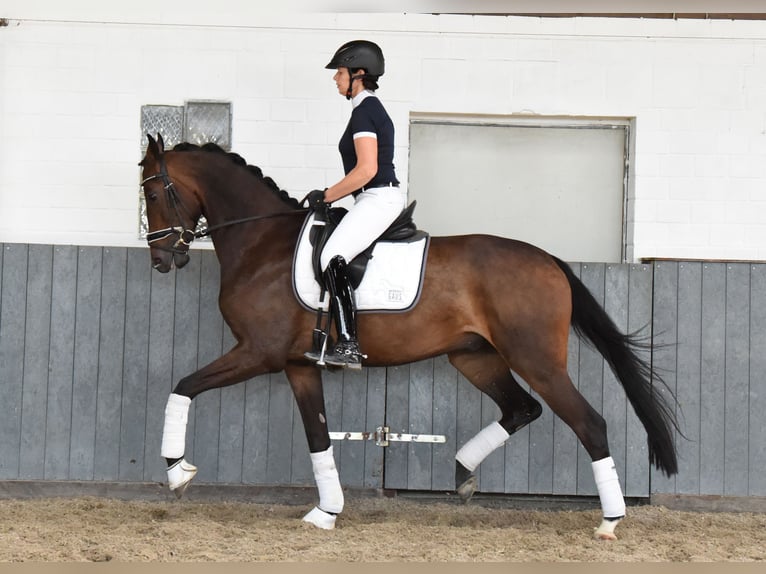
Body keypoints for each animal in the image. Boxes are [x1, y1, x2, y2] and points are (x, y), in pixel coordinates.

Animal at [138, 134, 680, 540]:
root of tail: (547, 259)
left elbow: (182, 387)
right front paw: (326, 512)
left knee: (589, 423)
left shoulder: (257, 353)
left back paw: (609, 521)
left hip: (537, 360)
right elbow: (318, 437)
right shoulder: (297, 365)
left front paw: (177, 472)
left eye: (152, 194)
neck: (262, 243)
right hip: (475, 357)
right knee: (521, 409)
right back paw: (462, 473)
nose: (163, 260)